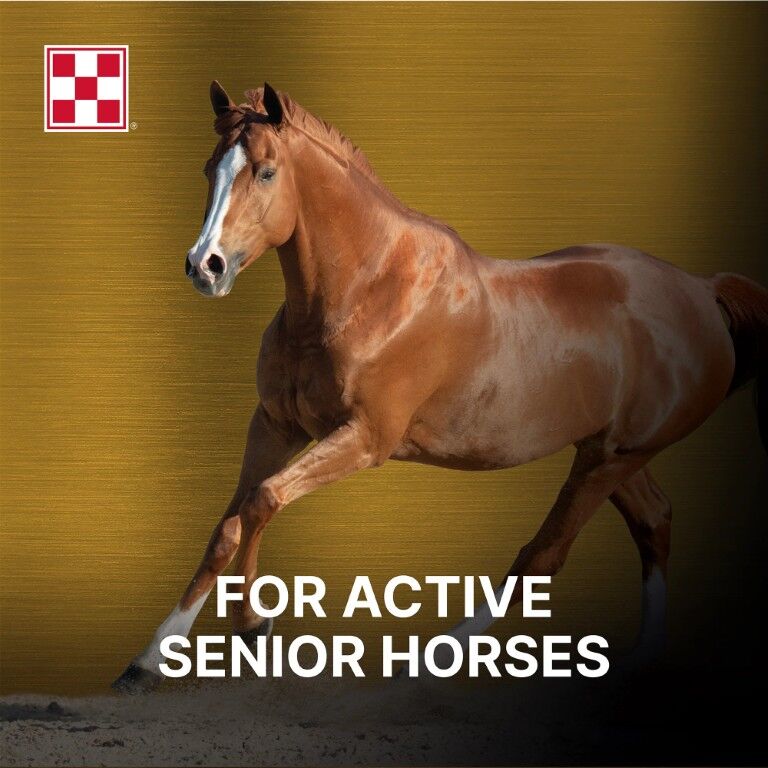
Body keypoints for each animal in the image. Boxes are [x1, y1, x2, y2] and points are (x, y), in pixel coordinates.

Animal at [113, 81, 767, 692]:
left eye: (266, 170)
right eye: (209, 168)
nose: (206, 266)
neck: (364, 290)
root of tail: (703, 291)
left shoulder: (365, 439)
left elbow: (262, 502)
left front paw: (253, 627)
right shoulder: (277, 424)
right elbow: (226, 528)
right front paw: (146, 663)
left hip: (611, 458)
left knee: (543, 556)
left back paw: (425, 664)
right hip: (609, 453)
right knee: (652, 520)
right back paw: (636, 660)